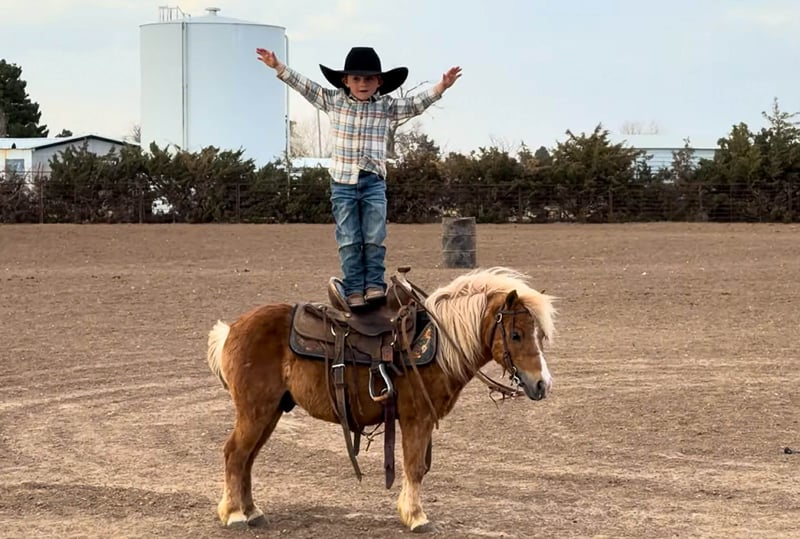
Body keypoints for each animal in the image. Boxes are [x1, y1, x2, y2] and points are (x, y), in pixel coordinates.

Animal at [206, 266, 556, 532]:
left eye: (539, 334)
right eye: (515, 335)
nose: (542, 384)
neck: (440, 346)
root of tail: (232, 329)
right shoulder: (416, 418)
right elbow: (415, 467)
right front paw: (416, 517)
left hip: (270, 412)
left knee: (248, 458)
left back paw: (252, 511)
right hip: (256, 411)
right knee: (235, 453)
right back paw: (234, 514)